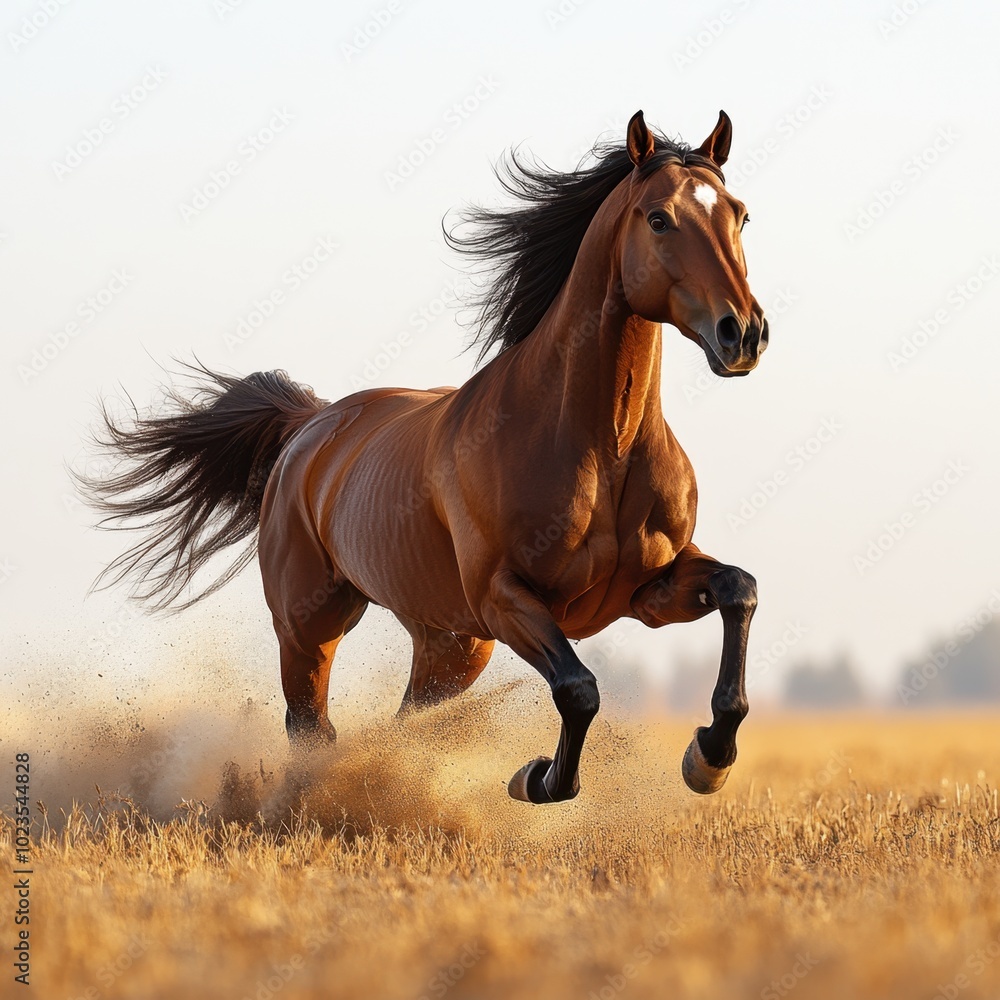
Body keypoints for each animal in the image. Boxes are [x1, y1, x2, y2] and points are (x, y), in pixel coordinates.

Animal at [80, 109, 768, 804]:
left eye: (739, 215)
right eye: (659, 218)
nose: (743, 334)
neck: (605, 449)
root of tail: (309, 426)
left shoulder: (647, 591)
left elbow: (739, 589)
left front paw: (708, 758)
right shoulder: (505, 599)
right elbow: (579, 690)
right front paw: (536, 778)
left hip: (450, 645)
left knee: (402, 721)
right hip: (313, 627)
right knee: (312, 727)